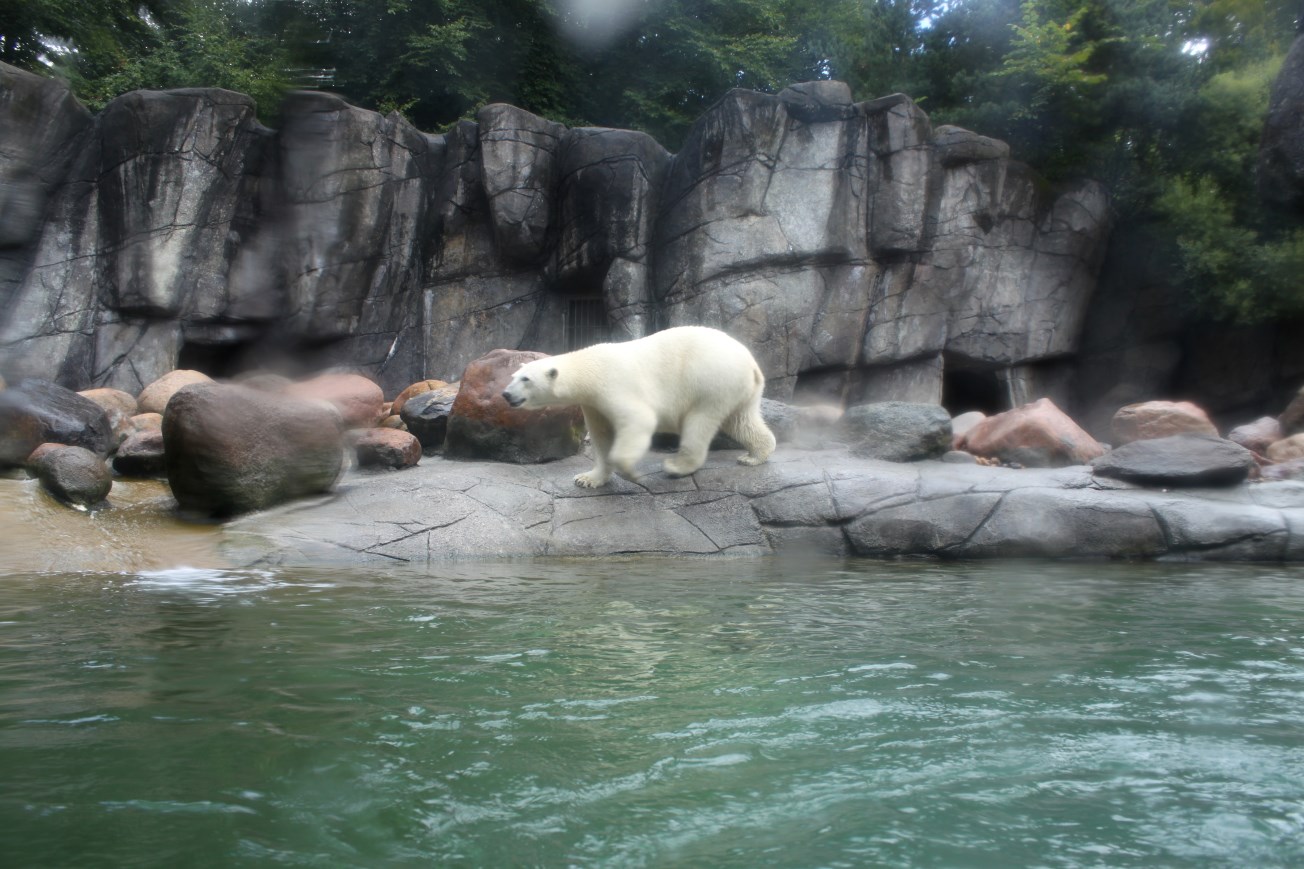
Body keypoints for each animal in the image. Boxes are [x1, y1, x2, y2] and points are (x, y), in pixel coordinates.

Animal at [501, 326, 777, 488]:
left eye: (526, 379)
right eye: (514, 375)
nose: (506, 394)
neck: (589, 368)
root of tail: (751, 363)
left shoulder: (614, 385)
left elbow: (638, 420)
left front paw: (630, 472)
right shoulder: (593, 404)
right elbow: (601, 436)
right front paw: (587, 478)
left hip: (710, 380)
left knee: (699, 423)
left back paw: (676, 467)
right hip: (739, 389)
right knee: (742, 420)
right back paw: (753, 456)